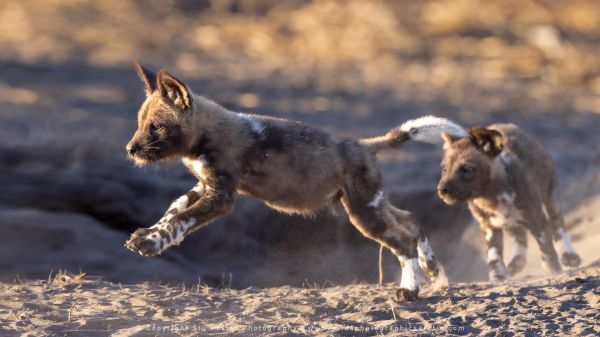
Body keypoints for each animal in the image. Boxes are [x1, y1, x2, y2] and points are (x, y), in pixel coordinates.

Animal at [124, 61, 464, 300]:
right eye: (140, 124)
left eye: (156, 127)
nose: (130, 149)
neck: (204, 135)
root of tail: (365, 145)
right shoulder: (204, 187)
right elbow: (173, 209)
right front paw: (147, 234)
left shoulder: (220, 196)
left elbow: (180, 219)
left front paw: (152, 243)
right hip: (370, 205)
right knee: (411, 221)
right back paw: (434, 272)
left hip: (364, 213)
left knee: (403, 240)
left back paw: (410, 291)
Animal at [436, 124, 580, 280]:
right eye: (444, 169)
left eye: (468, 168)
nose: (442, 189)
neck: (490, 197)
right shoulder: (488, 227)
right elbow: (494, 257)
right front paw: (498, 278)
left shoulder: (536, 217)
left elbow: (546, 248)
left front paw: (554, 270)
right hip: (510, 221)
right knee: (519, 234)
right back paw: (517, 262)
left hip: (549, 198)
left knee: (557, 224)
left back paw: (569, 255)